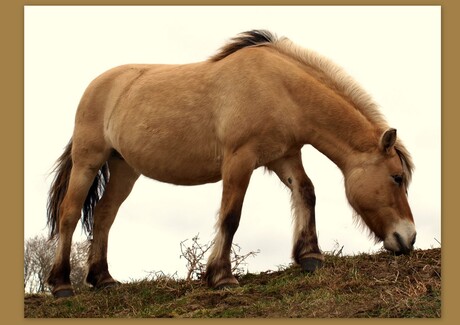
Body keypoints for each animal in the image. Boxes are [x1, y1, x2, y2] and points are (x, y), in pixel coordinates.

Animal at [46, 30, 416, 296]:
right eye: (397, 178)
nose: (408, 239)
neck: (281, 87)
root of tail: (99, 85)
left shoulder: (284, 156)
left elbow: (306, 192)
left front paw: (310, 256)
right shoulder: (240, 160)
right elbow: (231, 216)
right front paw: (221, 276)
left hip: (125, 168)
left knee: (105, 214)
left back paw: (103, 279)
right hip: (88, 161)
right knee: (70, 213)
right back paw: (62, 285)